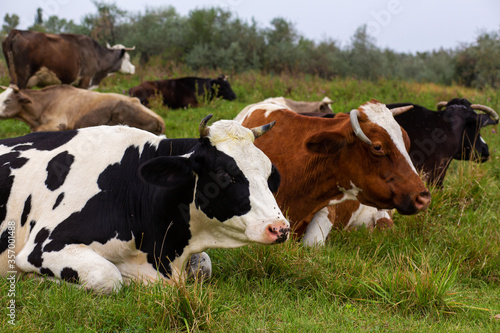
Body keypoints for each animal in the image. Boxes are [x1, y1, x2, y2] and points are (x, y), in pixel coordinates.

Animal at [0, 115, 290, 292]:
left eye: (268, 173)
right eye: (223, 173)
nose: (280, 228)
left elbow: (205, 265)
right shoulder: (43, 247)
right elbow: (109, 277)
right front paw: (35, 280)